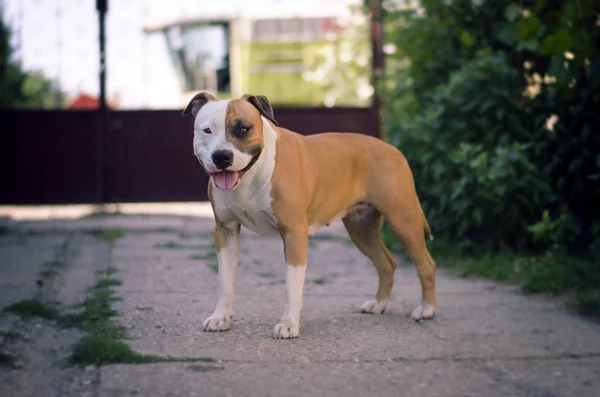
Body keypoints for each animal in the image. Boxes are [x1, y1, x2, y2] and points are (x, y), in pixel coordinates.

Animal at [183, 92, 436, 338]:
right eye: (207, 130)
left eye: (243, 129)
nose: (221, 156)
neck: (252, 174)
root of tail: (393, 149)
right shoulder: (226, 230)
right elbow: (225, 280)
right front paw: (220, 317)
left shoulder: (293, 234)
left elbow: (292, 285)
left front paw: (288, 324)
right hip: (362, 230)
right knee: (387, 263)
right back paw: (379, 304)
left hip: (404, 221)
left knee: (425, 263)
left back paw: (426, 309)